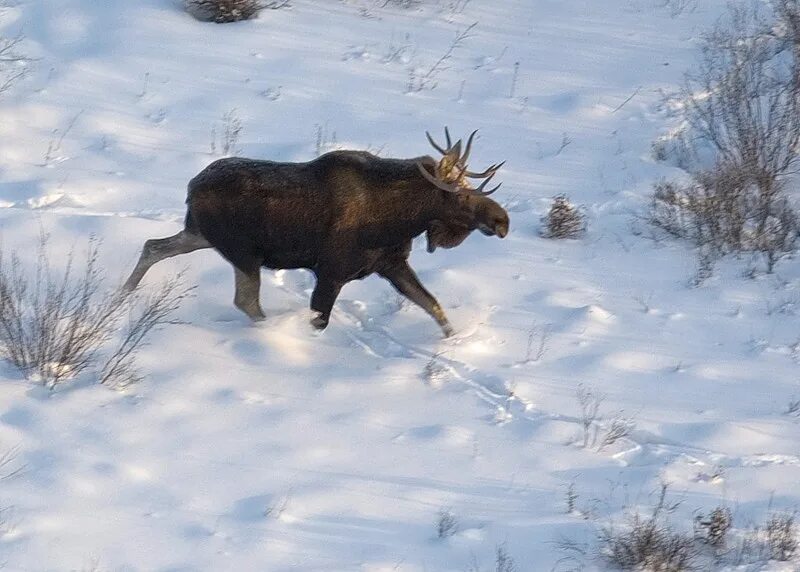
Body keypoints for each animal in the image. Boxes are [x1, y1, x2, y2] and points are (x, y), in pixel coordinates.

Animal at [125, 127, 512, 338]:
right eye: (460, 194)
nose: (502, 221)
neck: (401, 219)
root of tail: (191, 187)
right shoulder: (331, 272)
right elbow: (318, 320)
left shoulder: (392, 265)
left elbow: (434, 306)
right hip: (242, 251)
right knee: (246, 300)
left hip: (201, 235)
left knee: (153, 245)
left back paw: (123, 295)